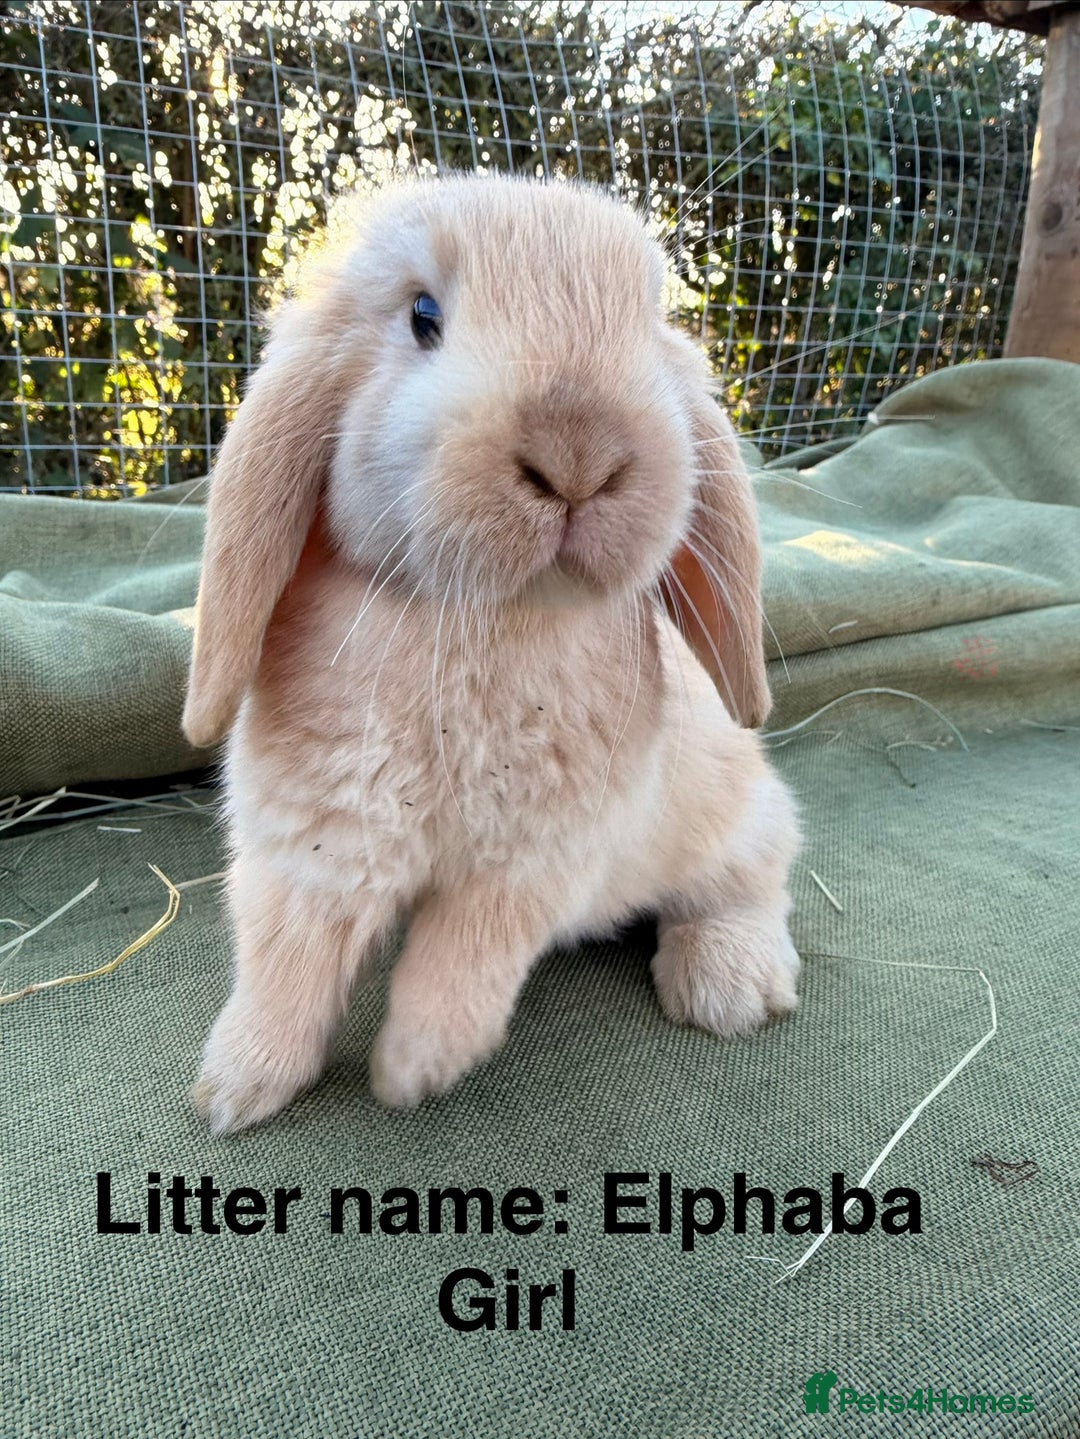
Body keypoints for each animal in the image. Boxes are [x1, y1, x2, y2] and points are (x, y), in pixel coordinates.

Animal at [183, 173, 800, 1135]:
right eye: (423, 315)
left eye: (645, 323)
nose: (580, 449)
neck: (481, 623)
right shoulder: (313, 842)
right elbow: (287, 955)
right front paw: (237, 1087)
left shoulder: (527, 869)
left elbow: (461, 961)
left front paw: (412, 1070)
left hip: (729, 823)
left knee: (758, 876)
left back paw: (728, 984)